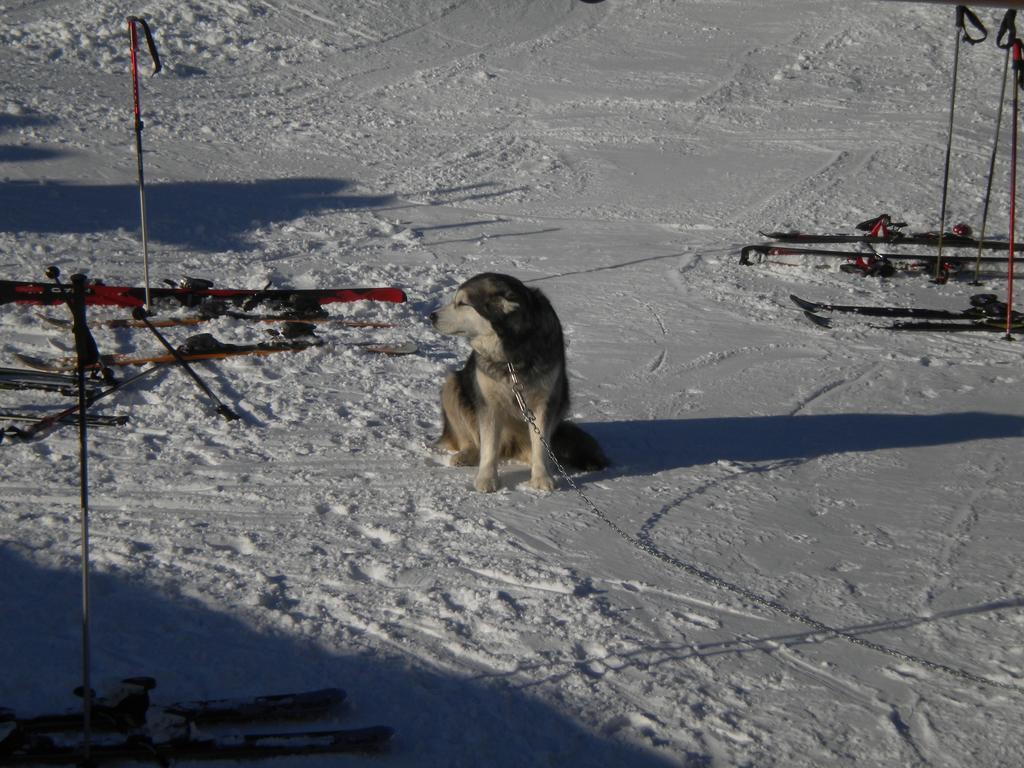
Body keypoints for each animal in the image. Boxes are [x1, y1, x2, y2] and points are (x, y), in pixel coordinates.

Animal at [430, 274, 606, 495]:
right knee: (474, 440)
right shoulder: (489, 404)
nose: (431, 316)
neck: (510, 353)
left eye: (461, 303)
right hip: (452, 385)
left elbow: (540, 445)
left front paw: (541, 477)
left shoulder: (544, 402)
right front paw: (487, 478)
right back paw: (466, 454)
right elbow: (488, 445)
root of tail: (510, 447)